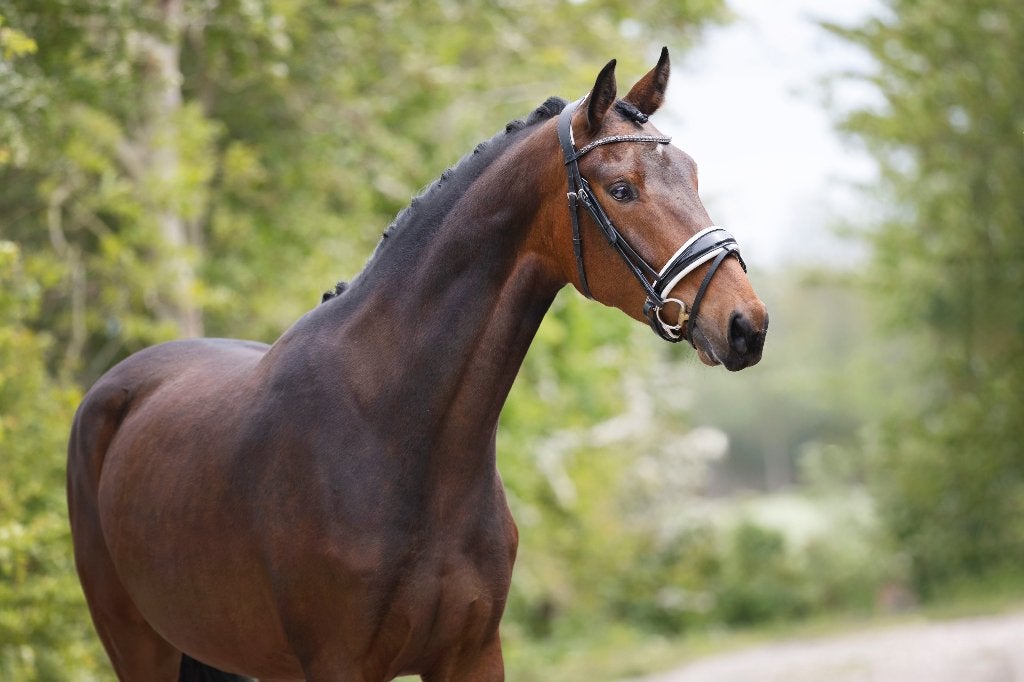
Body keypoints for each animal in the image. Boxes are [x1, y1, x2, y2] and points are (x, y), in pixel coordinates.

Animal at [67, 48, 767, 682]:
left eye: (692, 175)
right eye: (622, 189)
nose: (746, 326)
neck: (396, 432)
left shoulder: (473, 656)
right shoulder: (341, 666)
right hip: (138, 643)